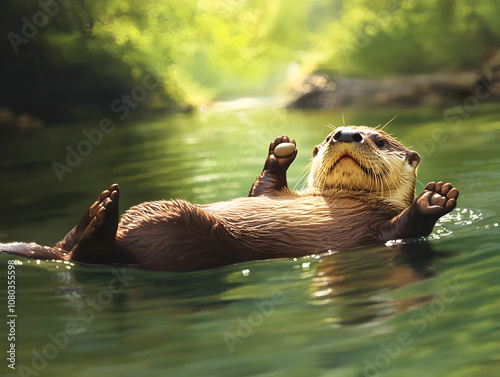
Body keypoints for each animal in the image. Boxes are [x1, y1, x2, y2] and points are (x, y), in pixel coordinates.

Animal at [1, 126, 458, 270]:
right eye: (330, 136)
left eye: (378, 139)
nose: (346, 134)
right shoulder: (272, 193)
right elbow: (263, 188)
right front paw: (281, 150)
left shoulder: (372, 231)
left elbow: (402, 227)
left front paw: (435, 199)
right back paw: (99, 207)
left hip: (185, 231)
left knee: (93, 255)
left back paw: (103, 215)